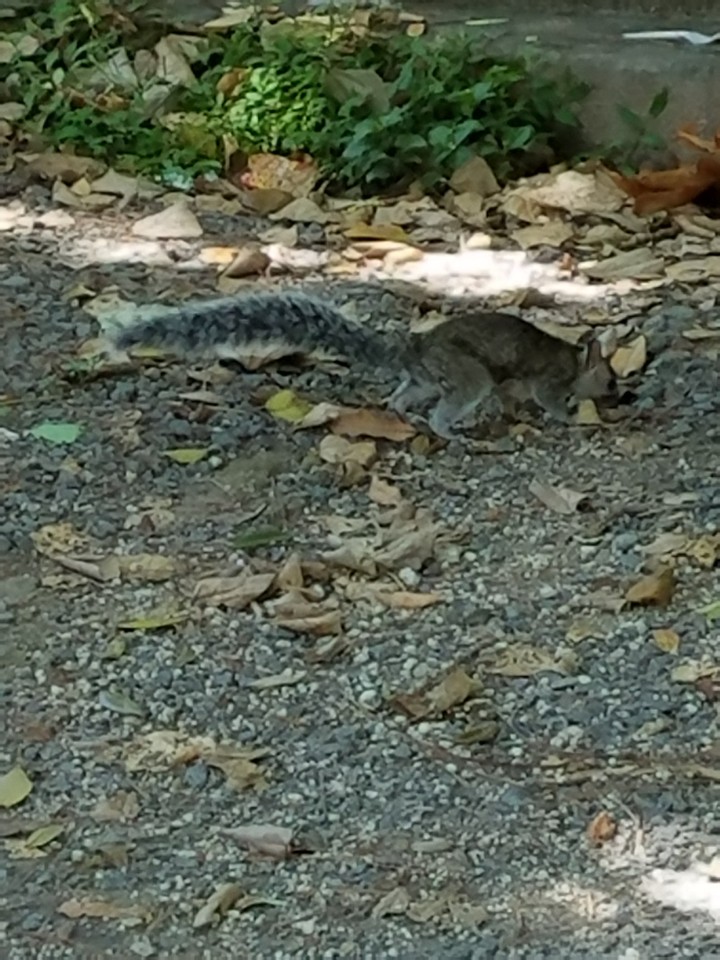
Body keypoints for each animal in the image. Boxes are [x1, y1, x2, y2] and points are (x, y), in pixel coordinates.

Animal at [106, 290, 618, 438]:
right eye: (610, 381)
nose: (623, 397)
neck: (575, 360)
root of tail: (413, 346)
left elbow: (511, 397)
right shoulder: (549, 379)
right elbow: (548, 400)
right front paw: (570, 417)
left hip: (430, 378)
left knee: (404, 395)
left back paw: (401, 413)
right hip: (467, 376)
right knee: (445, 407)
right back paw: (449, 431)